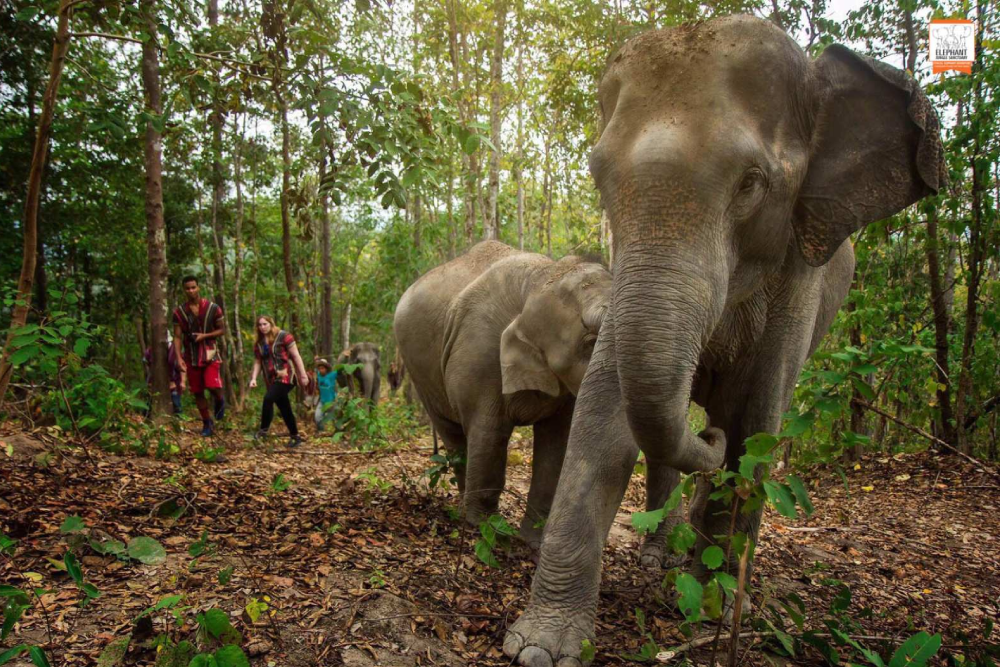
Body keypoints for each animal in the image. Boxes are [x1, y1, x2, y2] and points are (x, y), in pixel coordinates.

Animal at [393, 241, 612, 549]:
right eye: (590, 342)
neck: (540, 278)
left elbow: (556, 442)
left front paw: (533, 542)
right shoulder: (480, 351)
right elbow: (490, 432)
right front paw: (489, 530)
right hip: (420, 371)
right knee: (453, 435)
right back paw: (464, 511)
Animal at [504, 15, 945, 667]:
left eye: (751, 184)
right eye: (599, 180)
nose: (703, 435)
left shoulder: (799, 274)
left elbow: (755, 425)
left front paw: (709, 614)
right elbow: (605, 420)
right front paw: (540, 646)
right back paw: (666, 557)